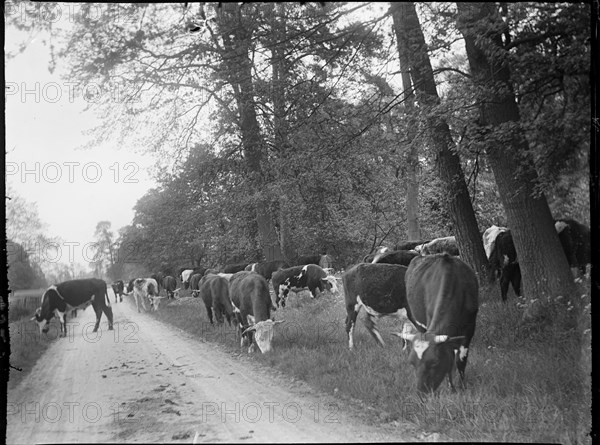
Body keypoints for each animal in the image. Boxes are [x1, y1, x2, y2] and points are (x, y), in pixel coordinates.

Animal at [394, 253, 478, 392]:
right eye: (412, 363)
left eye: (434, 362)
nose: (421, 391)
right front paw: (451, 387)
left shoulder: (469, 329)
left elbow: (461, 360)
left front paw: (461, 386)